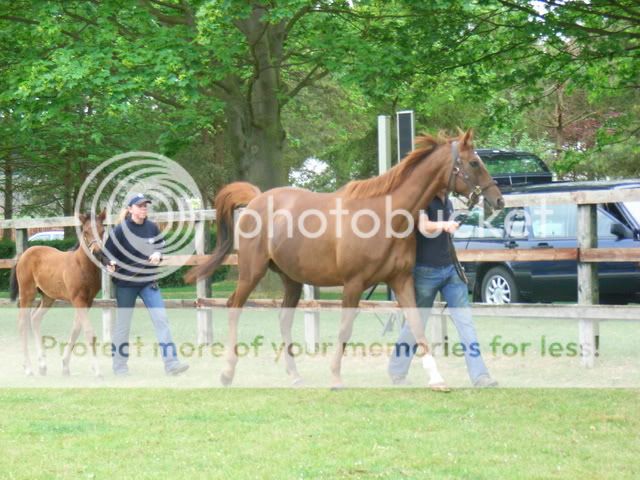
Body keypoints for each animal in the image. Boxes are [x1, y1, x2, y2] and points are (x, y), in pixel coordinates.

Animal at [10, 212, 106, 376]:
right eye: (86, 232)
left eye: (102, 230)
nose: (98, 253)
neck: (82, 265)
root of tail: (23, 255)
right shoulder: (78, 300)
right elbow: (88, 332)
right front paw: (98, 371)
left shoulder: (88, 301)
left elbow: (76, 329)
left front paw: (65, 365)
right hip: (27, 293)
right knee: (22, 323)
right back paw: (28, 368)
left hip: (48, 297)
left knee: (35, 318)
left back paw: (42, 365)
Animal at [185, 131, 504, 390]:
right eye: (474, 163)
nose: (498, 200)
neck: (386, 216)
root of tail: (256, 199)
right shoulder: (353, 284)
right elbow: (345, 329)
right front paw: (336, 377)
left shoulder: (401, 280)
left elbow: (416, 324)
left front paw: (436, 378)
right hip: (252, 272)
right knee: (233, 308)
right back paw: (227, 373)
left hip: (292, 279)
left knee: (284, 319)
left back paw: (295, 376)